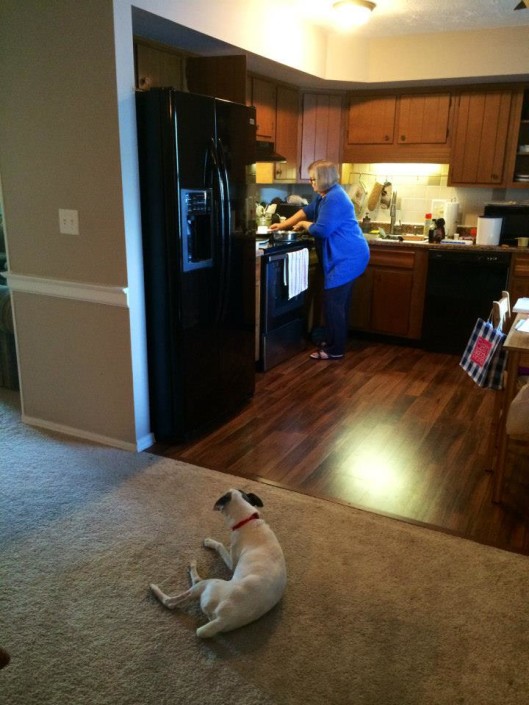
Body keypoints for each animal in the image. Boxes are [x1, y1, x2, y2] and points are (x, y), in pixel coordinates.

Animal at [151, 490, 286, 640]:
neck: (248, 520)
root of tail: (222, 620)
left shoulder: (232, 561)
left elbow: (220, 545)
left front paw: (209, 542)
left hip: (208, 584)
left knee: (172, 601)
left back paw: (159, 585)